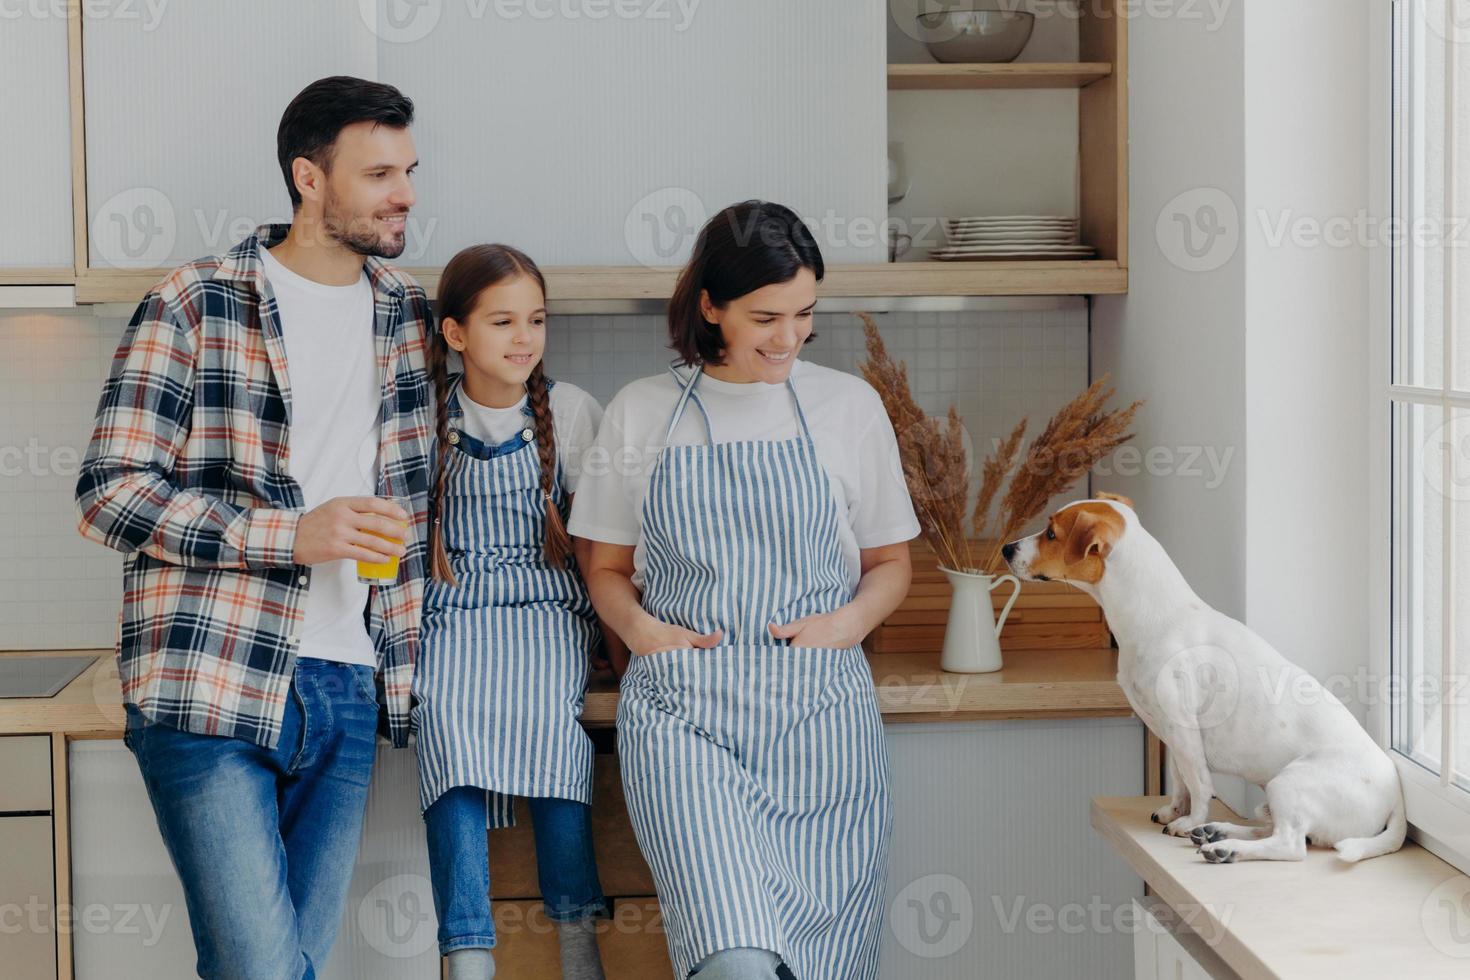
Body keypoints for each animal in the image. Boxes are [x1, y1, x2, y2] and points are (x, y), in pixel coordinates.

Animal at [999, 493, 1399, 863]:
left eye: (1051, 533)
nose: (1005, 547)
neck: (1155, 616)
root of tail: (1395, 799)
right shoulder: (1169, 734)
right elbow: (1179, 780)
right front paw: (1177, 812)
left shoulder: (1181, 726)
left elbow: (1199, 782)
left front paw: (1189, 820)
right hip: (1273, 794)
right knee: (1268, 829)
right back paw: (1217, 832)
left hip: (1288, 783)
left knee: (1290, 844)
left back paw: (1225, 847)